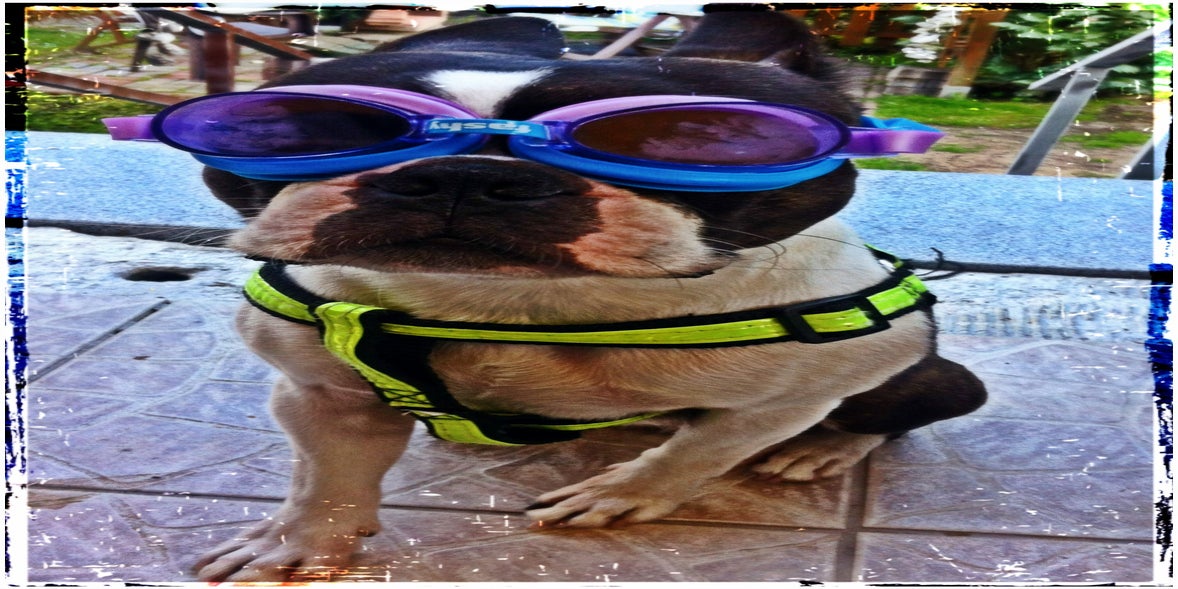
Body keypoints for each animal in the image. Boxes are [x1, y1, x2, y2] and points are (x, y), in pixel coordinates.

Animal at [178, 10, 986, 581]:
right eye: (300, 129)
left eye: (703, 141)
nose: (464, 174)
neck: (514, 310)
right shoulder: (324, 394)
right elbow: (328, 481)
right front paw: (297, 546)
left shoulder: (800, 391)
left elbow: (696, 454)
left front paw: (620, 494)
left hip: (916, 374)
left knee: (910, 405)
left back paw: (824, 448)